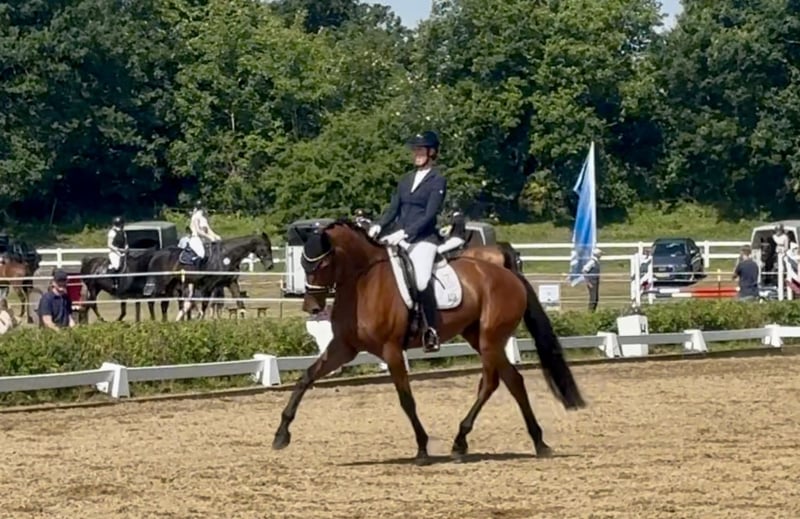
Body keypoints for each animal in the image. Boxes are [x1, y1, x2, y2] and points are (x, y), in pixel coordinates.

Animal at [143, 233, 274, 321]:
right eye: (265, 248)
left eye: (270, 247)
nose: (270, 266)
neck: (226, 257)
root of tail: (157, 254)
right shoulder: (209, 285)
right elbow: (205, 304)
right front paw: (200, 319)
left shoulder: (231, 283)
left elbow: (239, 301)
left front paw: (242, 318)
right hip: (161, 283)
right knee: (152, 300)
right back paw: (153, 319)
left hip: (172, 284)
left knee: (164, 303)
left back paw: (164, 321)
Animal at [272, 219, 585, 464]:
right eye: (302, 263)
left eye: (323, 263)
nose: (311, 307)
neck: (362, 282)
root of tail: (506, 272)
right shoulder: (343, 347)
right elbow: (306, 377)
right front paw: (281, 434)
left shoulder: (391, 350)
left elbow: (406, 399)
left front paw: (422, 448)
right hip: (480, 337)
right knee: (513, 381)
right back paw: (536, 442)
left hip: (489, 339)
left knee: (492, 382)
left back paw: (464, 440)